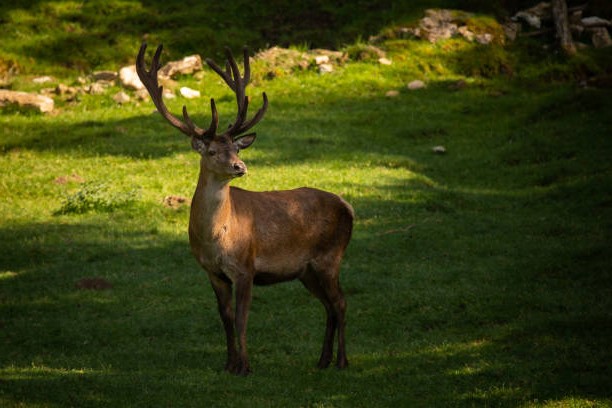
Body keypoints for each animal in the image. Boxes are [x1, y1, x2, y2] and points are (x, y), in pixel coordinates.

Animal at [136, 43, 352, 374]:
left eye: (236, 148)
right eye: (213, 151)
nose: (240, 166)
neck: (215, 239)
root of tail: (348, 206)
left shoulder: (245, 267)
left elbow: (241, 319)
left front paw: (245, 366)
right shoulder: (212, 272)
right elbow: (225, 318)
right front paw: (228, 364)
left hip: (330, 256)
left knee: (340, 302)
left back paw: (341, 360)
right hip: (306, 270)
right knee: (329, 304)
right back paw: (322, 359)